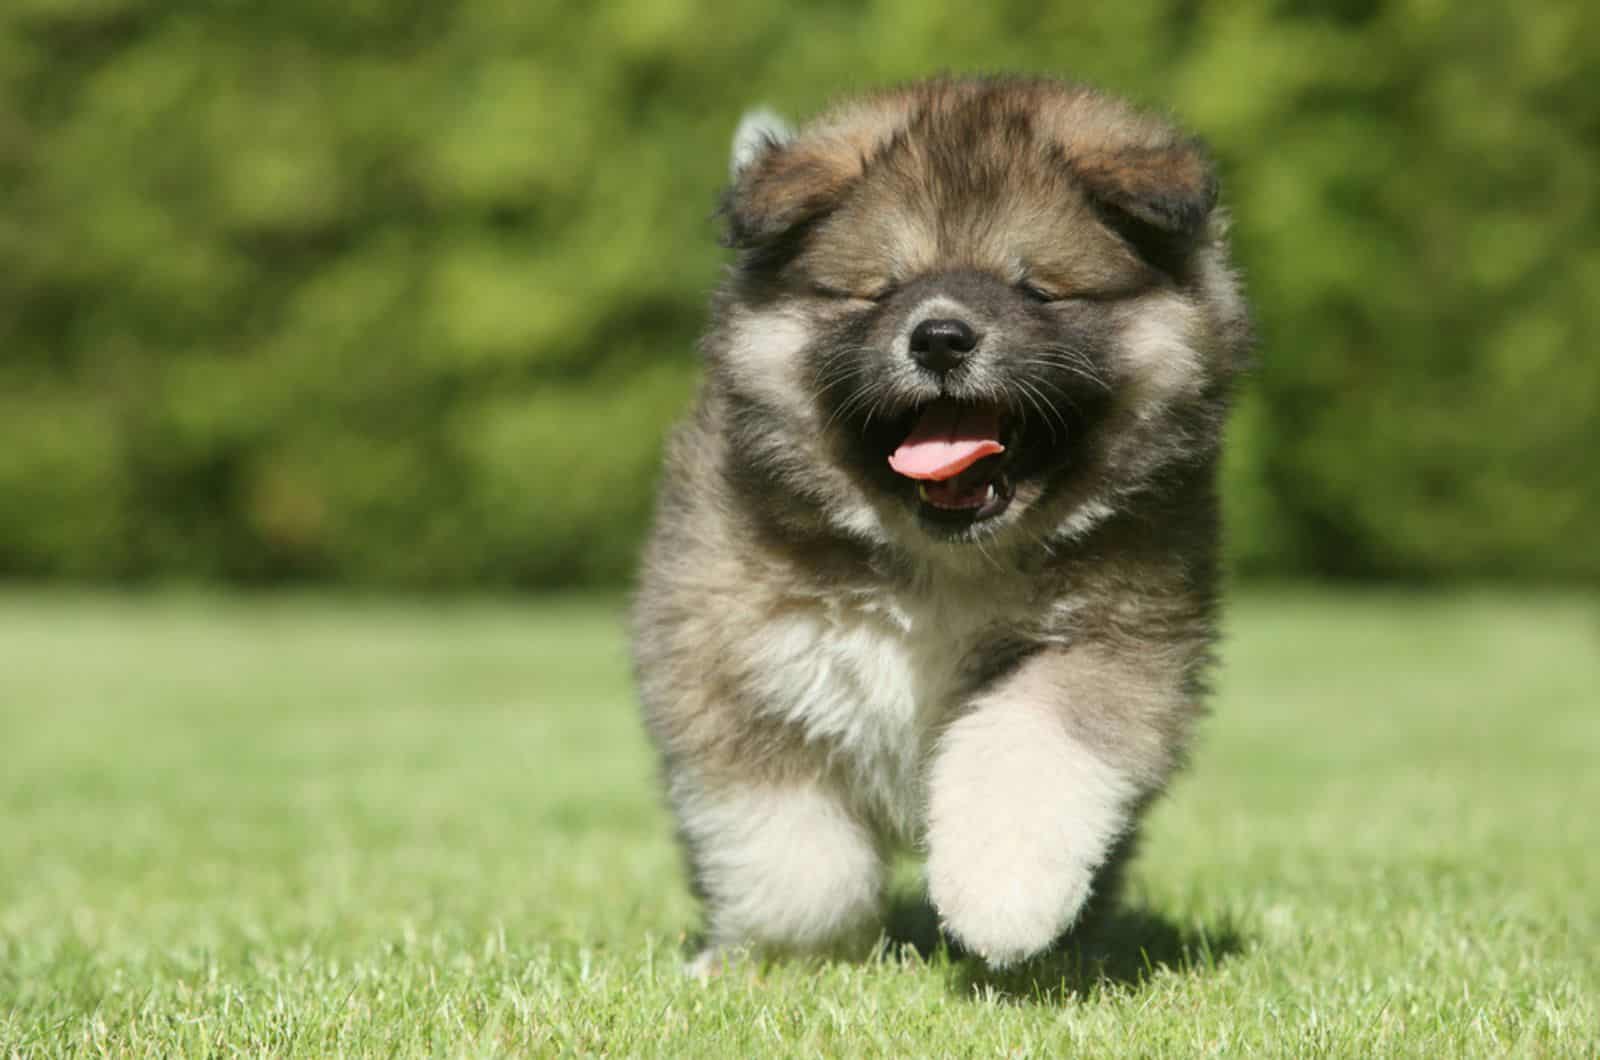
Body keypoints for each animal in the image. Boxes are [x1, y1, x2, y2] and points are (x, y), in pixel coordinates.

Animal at [627, 74, 1248, 973]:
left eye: (1035, 288)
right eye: (882, 288)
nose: (942, 338)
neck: (942, 564)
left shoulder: (1116, 643)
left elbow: (1028, 752)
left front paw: (1003, 901)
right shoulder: (733, 664)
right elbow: (788, 846)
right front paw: (781, 957)